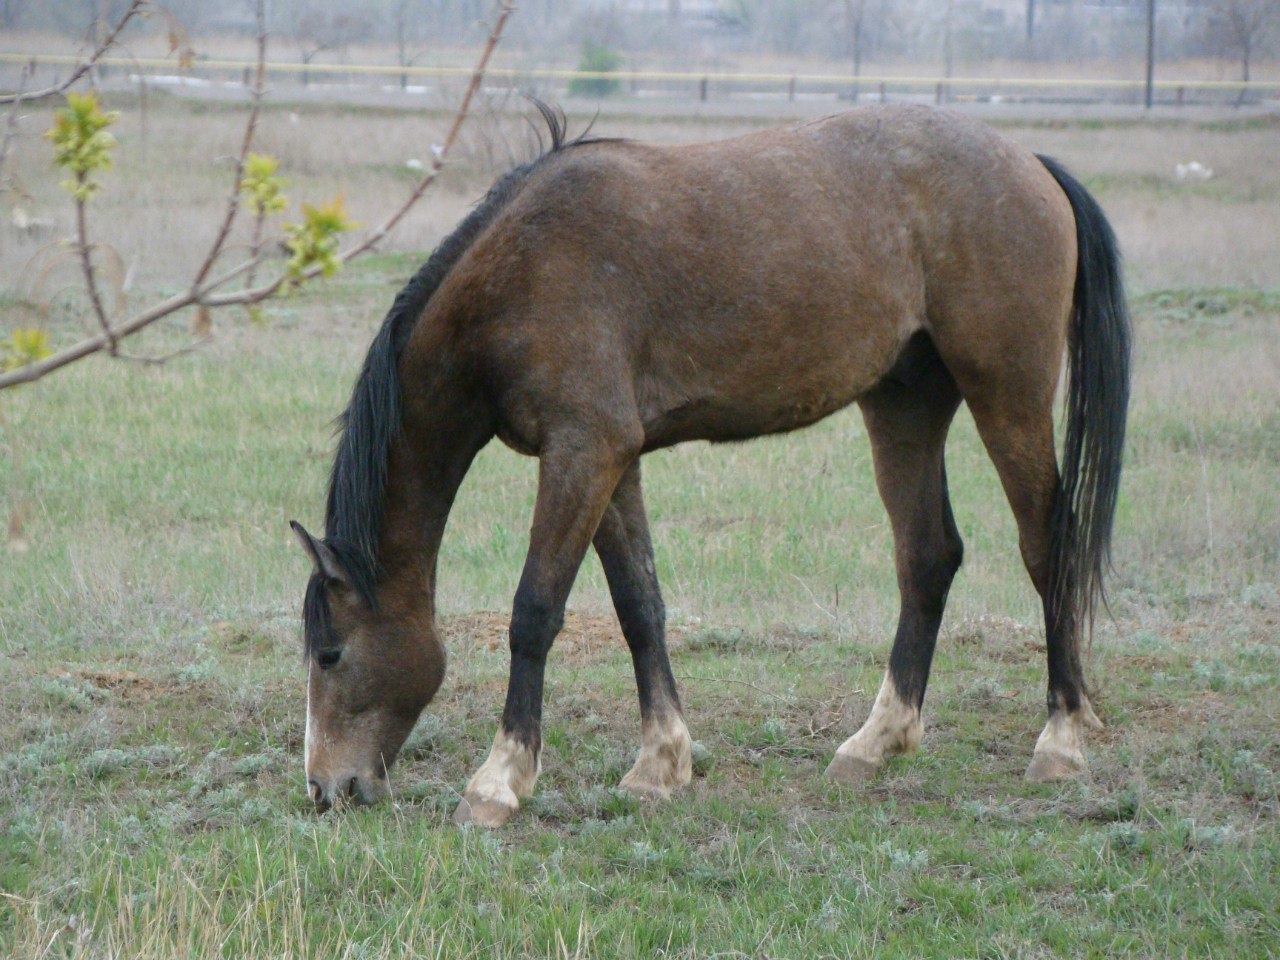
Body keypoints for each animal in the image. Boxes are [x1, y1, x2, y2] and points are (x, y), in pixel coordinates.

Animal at [293, 103, 1131, 829]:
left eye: (332, 653)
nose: (326, 787)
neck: (519, 273)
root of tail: (1032, 164)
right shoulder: (612, 463)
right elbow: (639, 606)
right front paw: (660, 765)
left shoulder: (582, 453)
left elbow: (534, 612)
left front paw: (499, 782)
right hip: (904, 405)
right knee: (927, 557)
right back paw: (876, 743)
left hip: (1006, 396)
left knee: (1047, 549)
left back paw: (1060, 739)